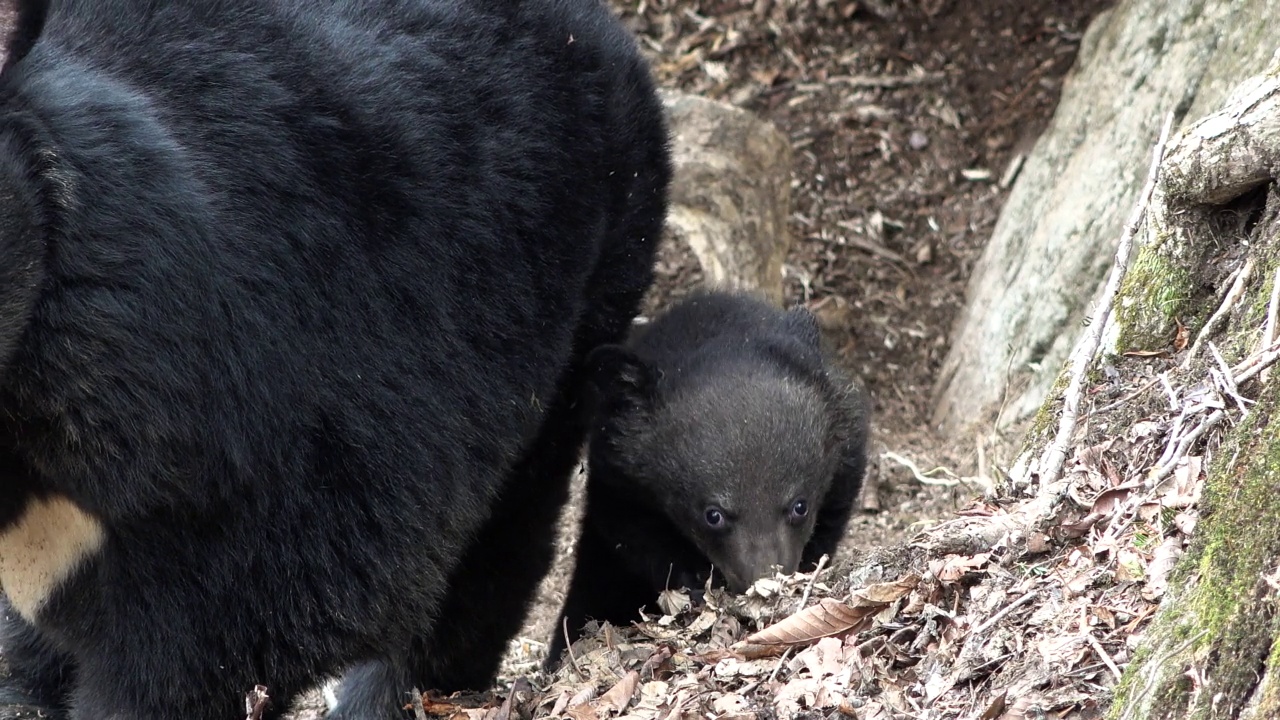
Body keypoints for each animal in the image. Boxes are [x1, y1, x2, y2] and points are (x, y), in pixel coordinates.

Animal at [545, 289, 865, 666]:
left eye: (799, 506)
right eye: (713, 515)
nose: (764, 585)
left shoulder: (846, 456)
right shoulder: (619, 484)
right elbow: (636, 535)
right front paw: (695, 581)